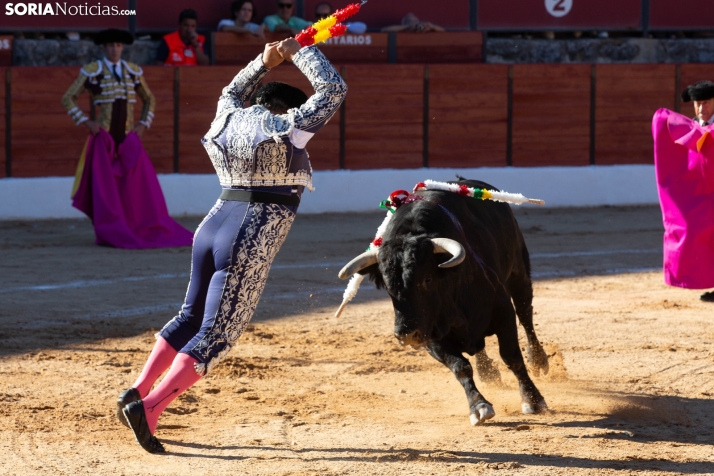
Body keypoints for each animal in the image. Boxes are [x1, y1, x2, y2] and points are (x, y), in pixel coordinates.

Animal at [336, 180, 548, 426]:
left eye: (427, 279)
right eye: (387, 287)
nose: (405, 334)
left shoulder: (503, 312)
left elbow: (512, 356)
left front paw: (532, 399)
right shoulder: (429, 336)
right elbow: (460, 367)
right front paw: (478, 406)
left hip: (518, 272)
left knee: (526, 315)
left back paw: (539, 360)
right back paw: (488, 372)